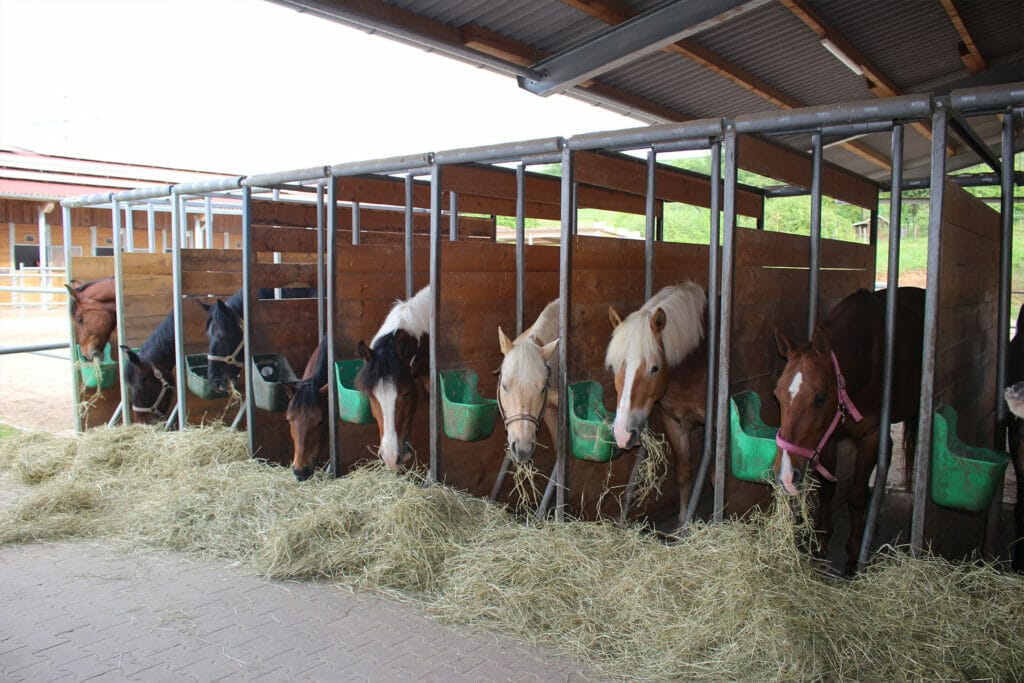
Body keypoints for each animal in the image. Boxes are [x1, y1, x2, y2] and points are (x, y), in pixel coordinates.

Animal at [602, 282, 708, 528]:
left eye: (654, 368)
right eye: (614, 366)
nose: (621, 433)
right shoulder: (674, 421)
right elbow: (683, 472)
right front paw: (682, 522)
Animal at [770, 286, 925, 573]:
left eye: (820, 397)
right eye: (777, 395)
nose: (785, 474)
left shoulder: (871, 437)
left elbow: (856, 496)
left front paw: (853, 558)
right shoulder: (830, 436)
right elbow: (828, 489)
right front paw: (821, 546)